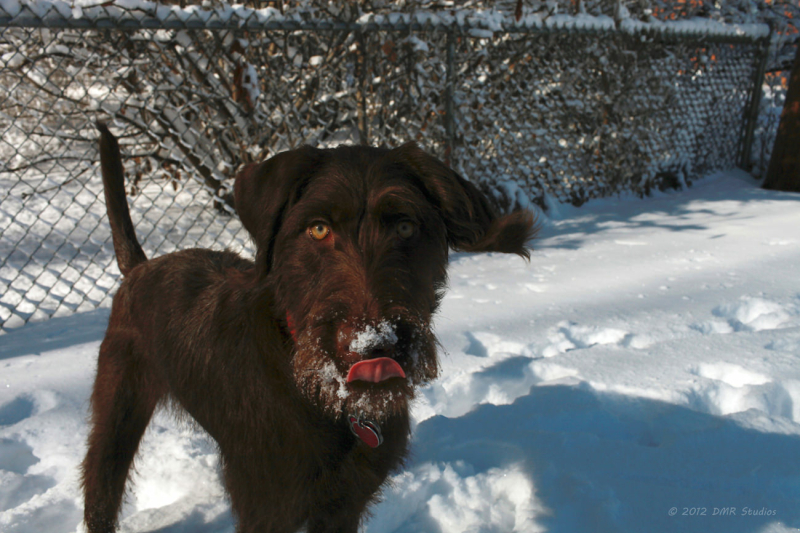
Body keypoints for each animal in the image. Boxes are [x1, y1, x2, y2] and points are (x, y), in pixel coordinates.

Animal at [83, 122, 536, 528]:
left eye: (406, 226)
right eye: (318, 228)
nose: (372, 347)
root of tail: (139, 268)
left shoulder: (343, 504)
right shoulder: (268, 507)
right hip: (116, 416)